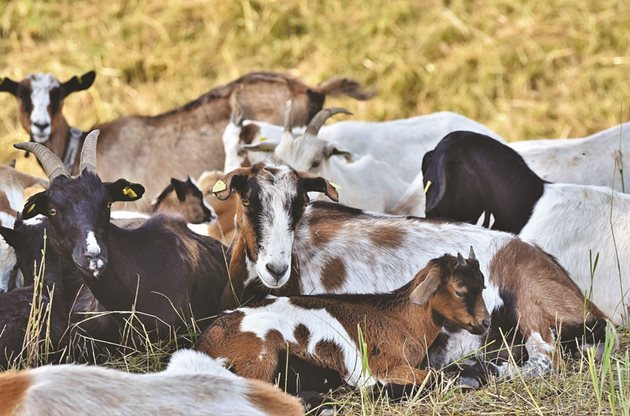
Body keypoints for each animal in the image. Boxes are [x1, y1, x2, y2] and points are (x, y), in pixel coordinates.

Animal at [200, 250, 492, 396]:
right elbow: (436, 376)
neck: (402, 320)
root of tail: (207, 342)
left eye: (483, 285)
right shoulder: (384, 368)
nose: (486, 322)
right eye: (461, 290)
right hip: (261, 357)